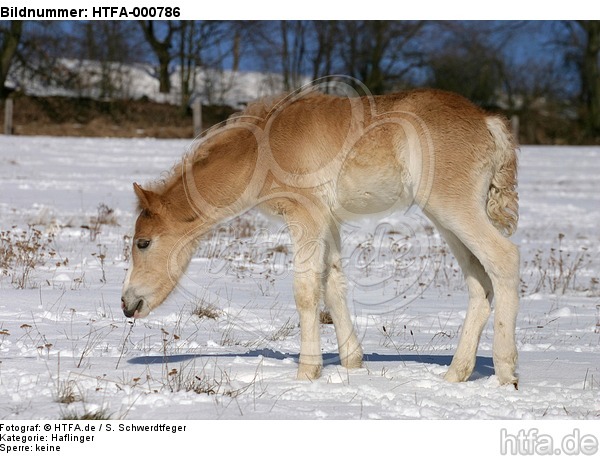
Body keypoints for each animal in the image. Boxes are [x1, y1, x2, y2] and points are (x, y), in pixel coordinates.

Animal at [122, 88, 520, 388]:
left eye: (143, 243)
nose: (127, 304)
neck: (261, 153)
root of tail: (488, 121)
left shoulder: (306, 217)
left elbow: (306, 290)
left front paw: (306, 371)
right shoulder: (329, 222)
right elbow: (333, 285)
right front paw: (353, 363)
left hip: (453, 209)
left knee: (503, 259)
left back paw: (506, 373)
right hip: (445, 220)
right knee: (480, 282)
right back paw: (456, 374)